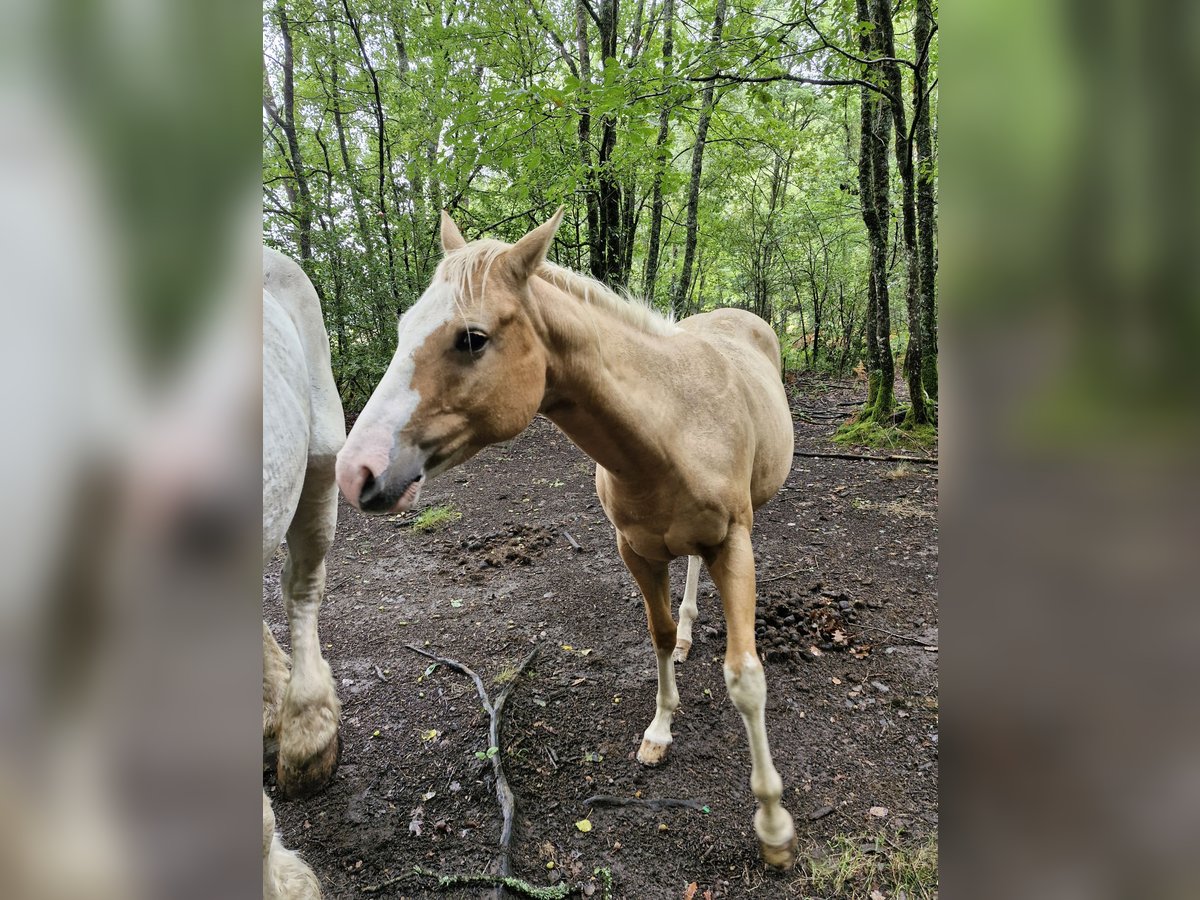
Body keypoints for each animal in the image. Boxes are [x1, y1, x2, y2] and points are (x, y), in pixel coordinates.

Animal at [335, 210, 798, 868]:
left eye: (472, 338)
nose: (355, 473)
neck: (673, 429)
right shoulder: (635, 550)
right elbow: (657, 636)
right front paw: (660, 729)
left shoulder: (735, 544)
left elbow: (746, 677)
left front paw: (774, 827)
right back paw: (688, 632)